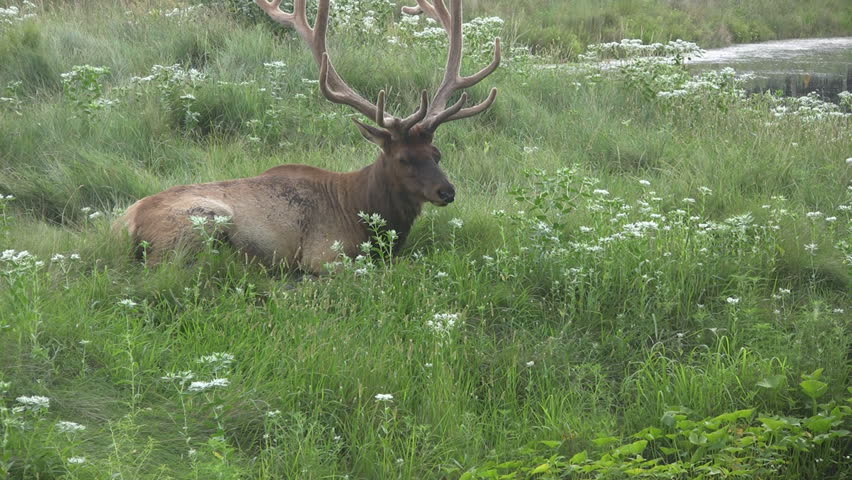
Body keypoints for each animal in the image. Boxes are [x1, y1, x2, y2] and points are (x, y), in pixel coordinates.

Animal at [115, 0, 500, 274]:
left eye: (437, 153)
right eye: (404, 158)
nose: (447, 191)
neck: (360, 206)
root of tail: (125, 224)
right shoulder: (325, 254)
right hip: (199, 224)